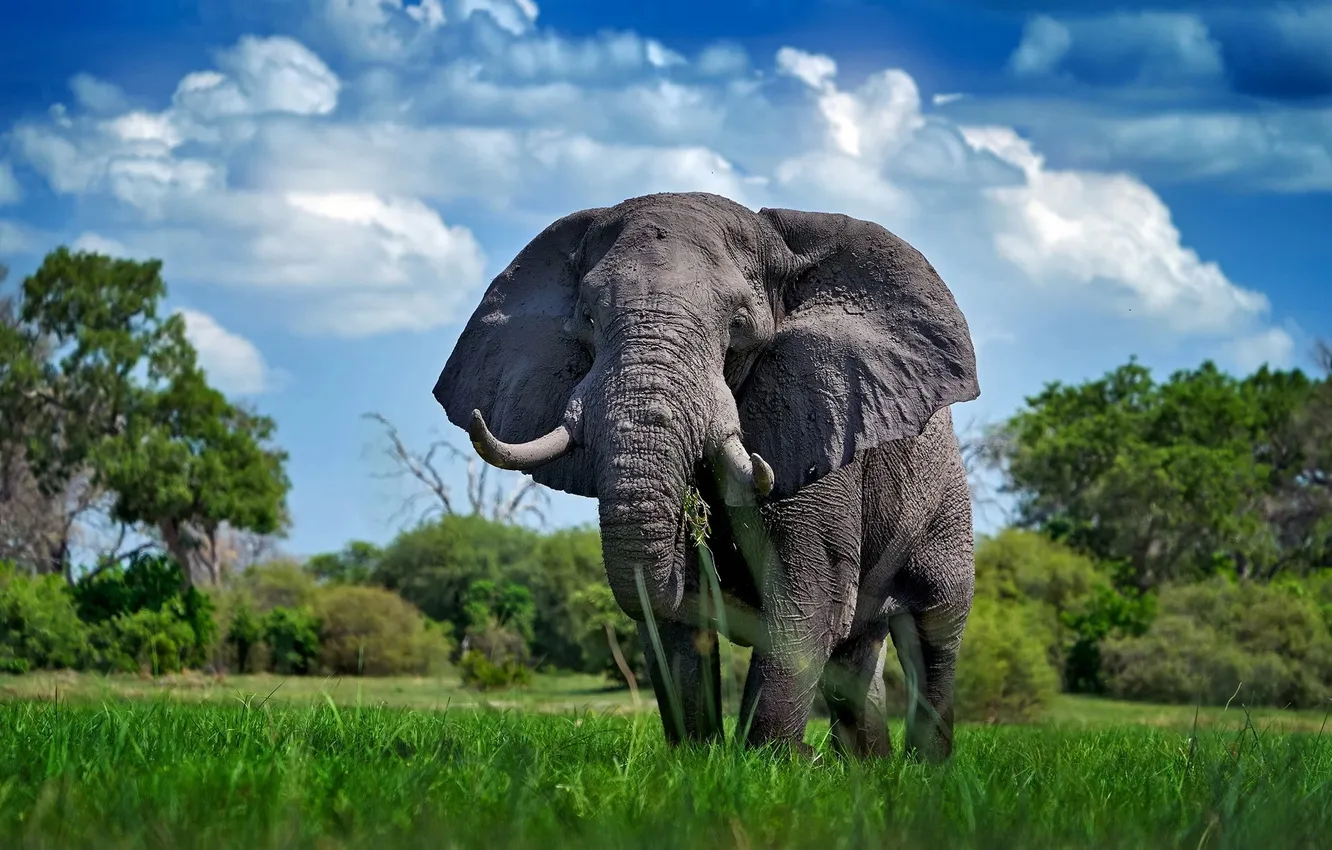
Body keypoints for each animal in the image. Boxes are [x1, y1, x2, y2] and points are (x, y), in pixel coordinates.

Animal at [433, 191, 980, 761]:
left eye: (738, 326)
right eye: (586, 318)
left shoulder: (820, 429)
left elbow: (810, 596)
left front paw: (771, 765)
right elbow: (676, 618)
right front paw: (701, 761)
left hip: (945, 503)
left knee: (934, 628)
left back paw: (923, 769)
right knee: (856, 655)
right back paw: (869, 770)